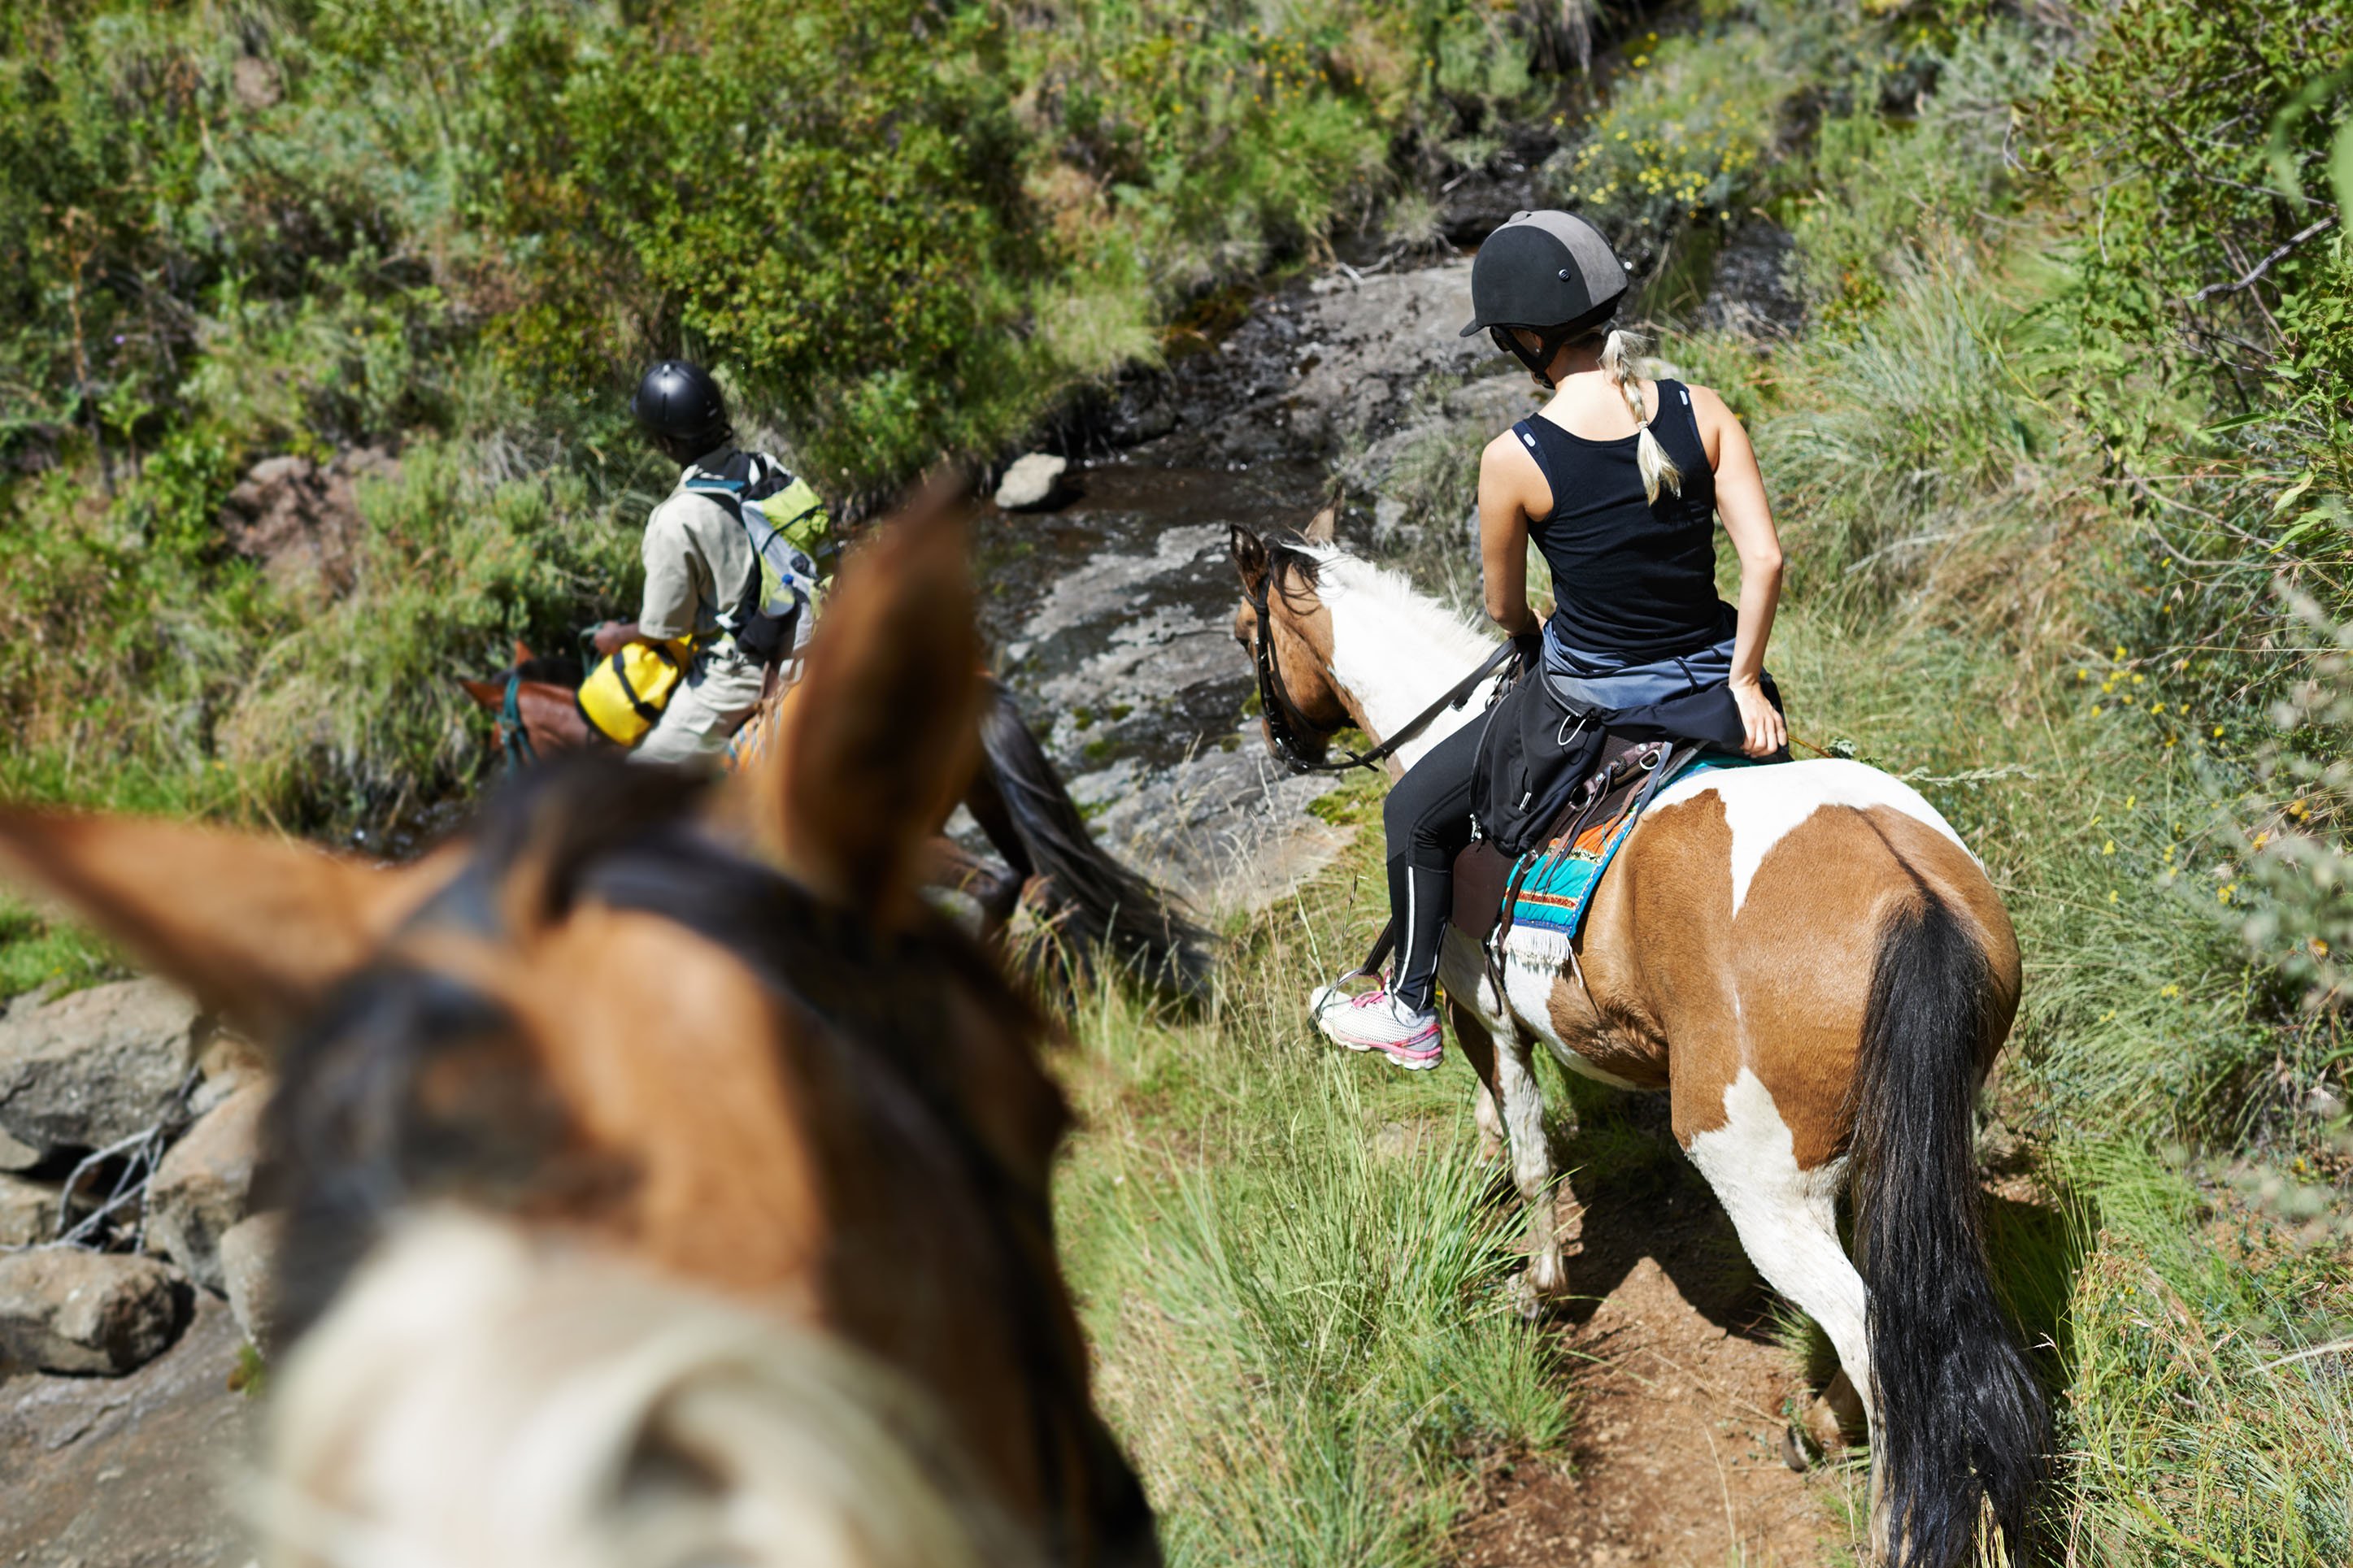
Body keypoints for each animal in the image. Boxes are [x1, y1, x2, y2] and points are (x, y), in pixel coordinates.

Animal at [1233, 523, 2042, 1568]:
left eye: (1245, 632)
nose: (1278, 745)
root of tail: (1910, 895)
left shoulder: (1481, 1012)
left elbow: (1529, 1156)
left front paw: (1536, 1288)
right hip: (1907, 1154)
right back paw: (1820, 1427)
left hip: (1762, 1186)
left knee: (1873, 1342)